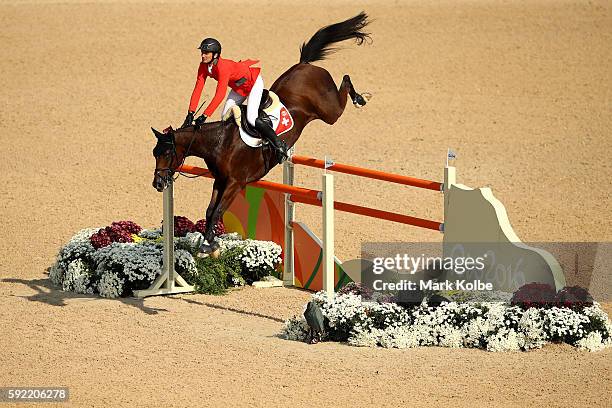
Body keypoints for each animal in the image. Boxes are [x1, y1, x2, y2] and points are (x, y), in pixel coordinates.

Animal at [153, 11, 372, 255]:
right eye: (155, 154)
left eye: (167, 153)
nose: (158, 184)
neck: (220, 144)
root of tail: (304, 64)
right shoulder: (220, 180)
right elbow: (210, 211)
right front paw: (210, 244)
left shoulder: (235, 182)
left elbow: (218, 211)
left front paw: (208, 245)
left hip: (330, 112)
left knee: (344, 84)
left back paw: (361, 98)